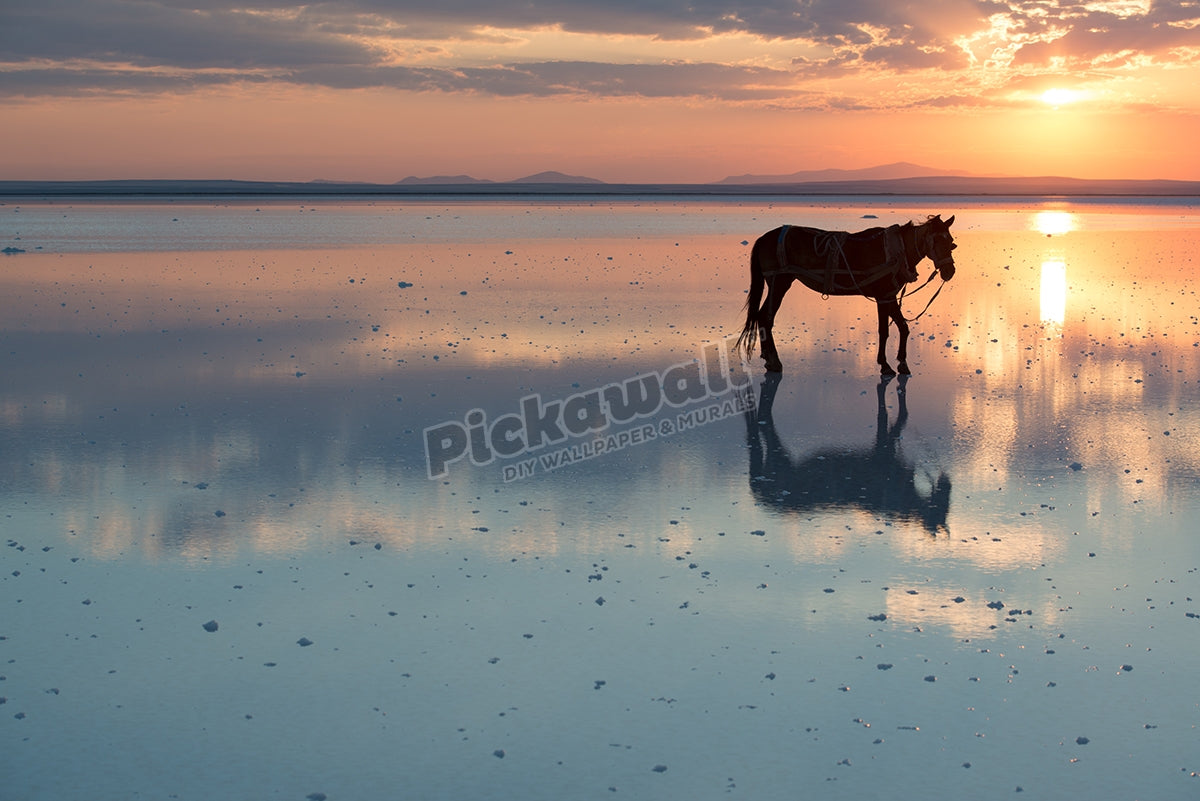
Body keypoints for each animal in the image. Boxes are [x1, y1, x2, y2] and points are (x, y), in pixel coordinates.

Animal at [735, 215, 957, 374]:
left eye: (952, 243)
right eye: (937, 241)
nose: (950, 271)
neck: (897, 251)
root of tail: (763, 238)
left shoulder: (890, 295)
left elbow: (903, 327)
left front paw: (902, 363)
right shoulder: (883, 295)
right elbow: (885, 331)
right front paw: (885, 365)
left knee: (762, 317)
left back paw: (768, 358)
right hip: (779, 282)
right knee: (766, 317)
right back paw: (774, 361)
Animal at [745, 373, 952, 535]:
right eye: (942, 506)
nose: (946, 482)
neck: (898, 493)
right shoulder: (883, 451)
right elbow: (894, 418)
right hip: (780, 460)